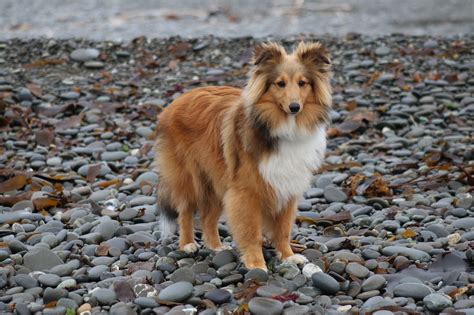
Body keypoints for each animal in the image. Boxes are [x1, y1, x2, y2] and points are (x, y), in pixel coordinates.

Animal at [155, 40, 330, 270]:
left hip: (215, 180)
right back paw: (187, 244)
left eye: (302, 83)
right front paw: (256, 264)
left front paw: (288, 256)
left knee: (207, 217)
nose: (294, 107)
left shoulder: (286, 186)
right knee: (184, 212)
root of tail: (175, 102)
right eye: (280, 83)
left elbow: (283, 229)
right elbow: (252, 231)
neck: (283, 127)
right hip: (189, 178)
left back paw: (216, 247)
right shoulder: (246, 192)